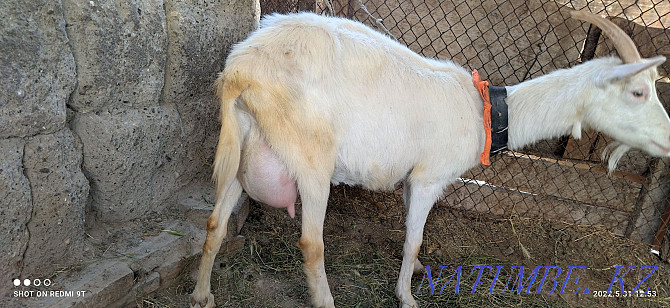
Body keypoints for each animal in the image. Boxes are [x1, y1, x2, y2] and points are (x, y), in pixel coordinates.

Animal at [190, 10, 670, 306]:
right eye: (637, 91)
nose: (668, 140)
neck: (486, 113)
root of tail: (241, 72)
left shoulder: (412, 176)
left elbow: (410, 230)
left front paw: (415, 271)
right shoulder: (429, 177)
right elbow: (415, 236)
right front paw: (407, 296)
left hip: (241, 153)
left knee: (215, 224)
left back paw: (202, 295)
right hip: (310, 157)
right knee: (311, 243)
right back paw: (325, 300)